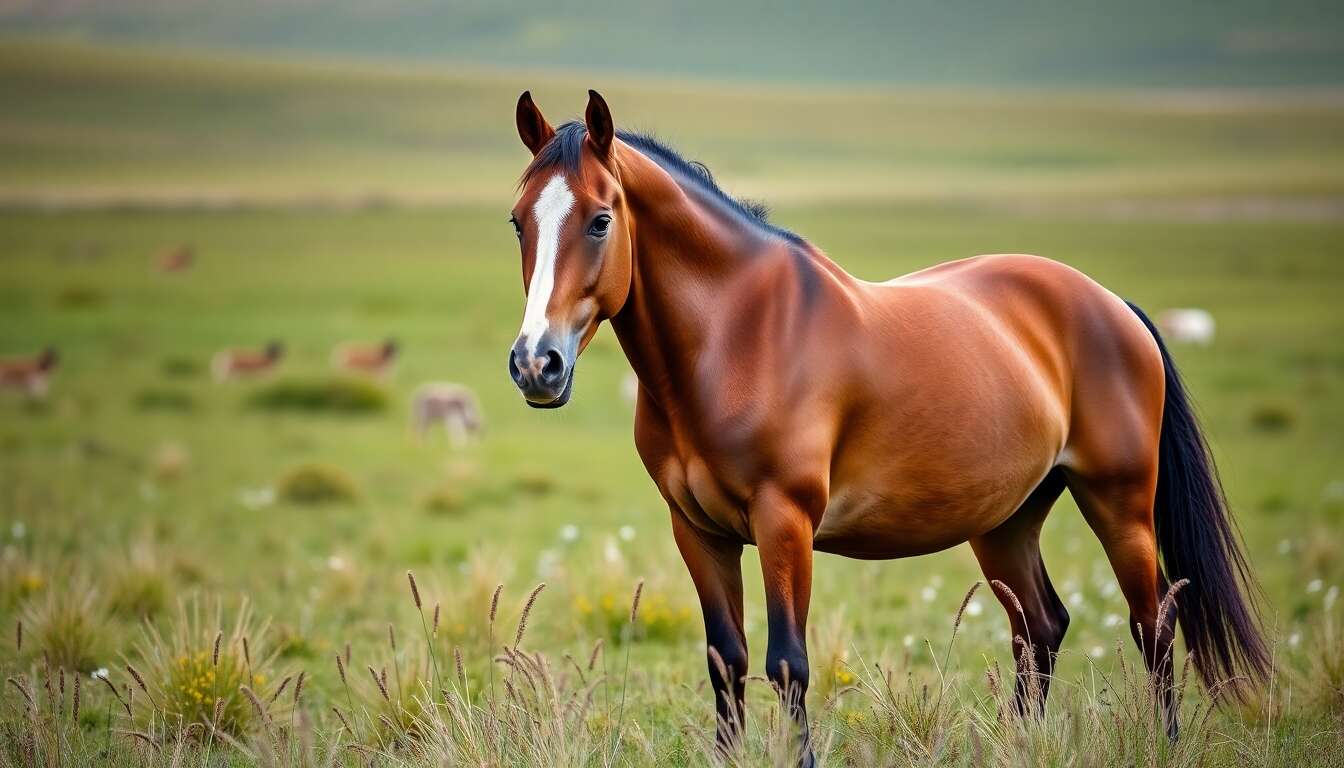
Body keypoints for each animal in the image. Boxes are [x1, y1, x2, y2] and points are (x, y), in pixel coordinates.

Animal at [503, 91, 1267, 764]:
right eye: (517, 222)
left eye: (601, 220)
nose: (537, 364)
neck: (739, 335)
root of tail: (1112, 304)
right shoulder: (697, 530)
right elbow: (727, 660)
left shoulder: (784, 522)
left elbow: (787, 663)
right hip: (1007, 519)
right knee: (1039, 627)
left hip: (1119, 501)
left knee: (1153, 625)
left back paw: (1164, 747)